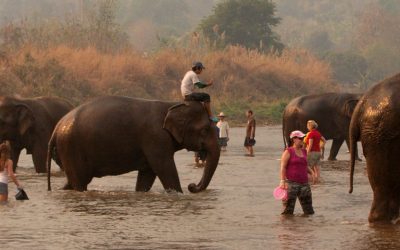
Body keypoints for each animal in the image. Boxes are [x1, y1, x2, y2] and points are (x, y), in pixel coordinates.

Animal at [47, 95, 222, 193]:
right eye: (205, 130)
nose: (192, 186)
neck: (172, 105)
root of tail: (56, 129)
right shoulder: (156, 138)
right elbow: (165, 169)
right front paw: (178, 193)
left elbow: (147, 174)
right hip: (71, 148)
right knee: (79, 182)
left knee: (72, 181)